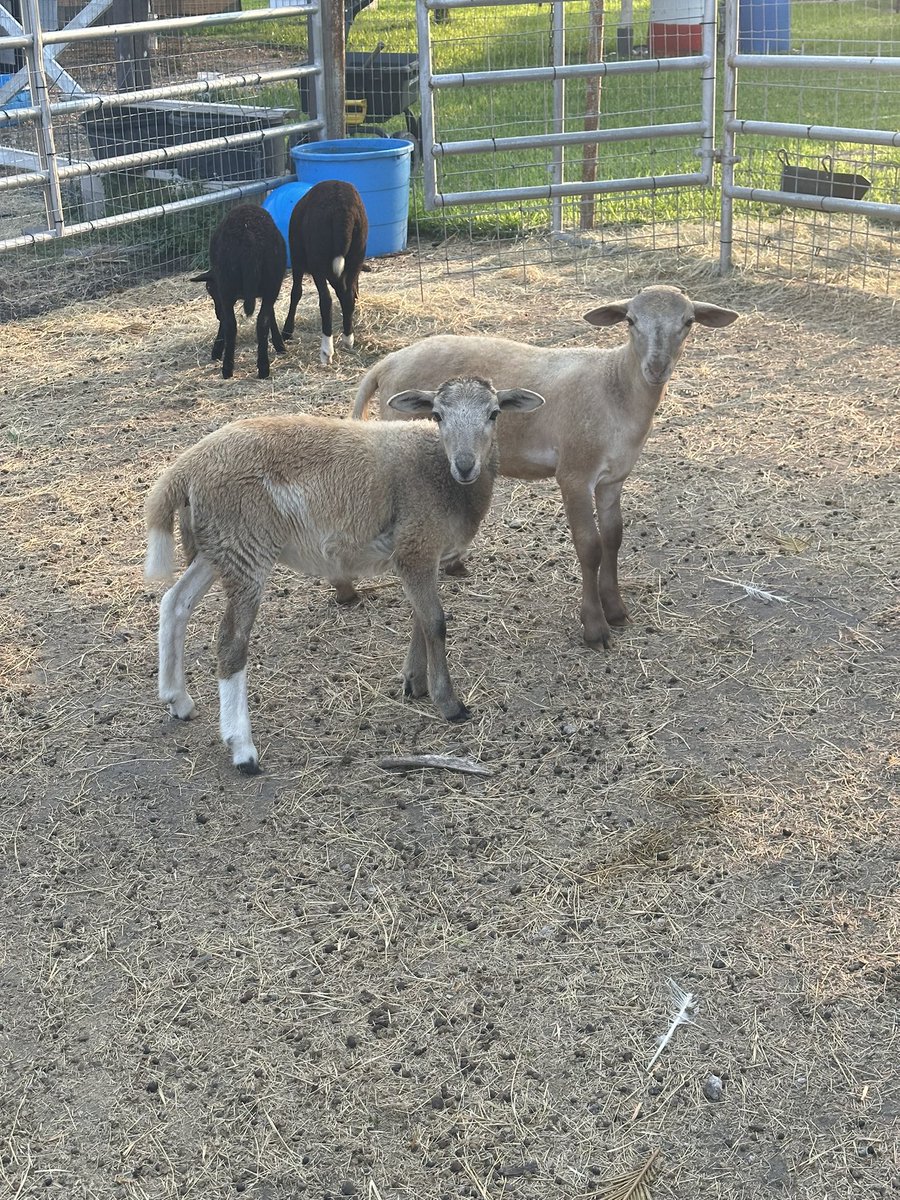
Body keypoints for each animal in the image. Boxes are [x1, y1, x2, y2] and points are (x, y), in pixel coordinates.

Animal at [144, 376, 544, 775]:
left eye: (494, 414)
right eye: (437, 415)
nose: (464, 465)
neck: (442, 475)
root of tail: (186, 467)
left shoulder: (419, 553)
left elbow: (421, 618)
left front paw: (415, 682)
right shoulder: (416, 544)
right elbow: (435, 622)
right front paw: (449, 703)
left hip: (219, 545)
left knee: (175, 603)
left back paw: (177, 700)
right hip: (246, 544)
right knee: (230, 642)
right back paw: (243, 750)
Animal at [191, 203, 286, 380]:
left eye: (209, 289)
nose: (216, 314)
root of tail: (248, 236)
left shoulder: (222, 293)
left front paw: (217, 350)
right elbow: (271, 314)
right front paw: (280, 345)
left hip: (227, 284)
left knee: (231, 323)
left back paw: (228, 369)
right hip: (272, 281)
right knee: (261, 321)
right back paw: (262, 369)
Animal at [280, 179, 368, 367]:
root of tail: (342, 208)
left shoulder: (297, 262)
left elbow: (296, 293)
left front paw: (287, 331)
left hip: (317, 259)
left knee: (326, 301)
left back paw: (326, 351)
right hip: (357, 253)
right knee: (348, 297)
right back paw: (348, 339)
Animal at [348, 285, 739, 649]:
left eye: (688, 322)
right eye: (630, 320)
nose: (656, 368)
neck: (615, 387)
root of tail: (388, 362)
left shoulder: (613, 479)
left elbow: (613, 537)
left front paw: (616, 610)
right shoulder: (575, 474)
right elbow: (590, 546)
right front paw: (595, 627)